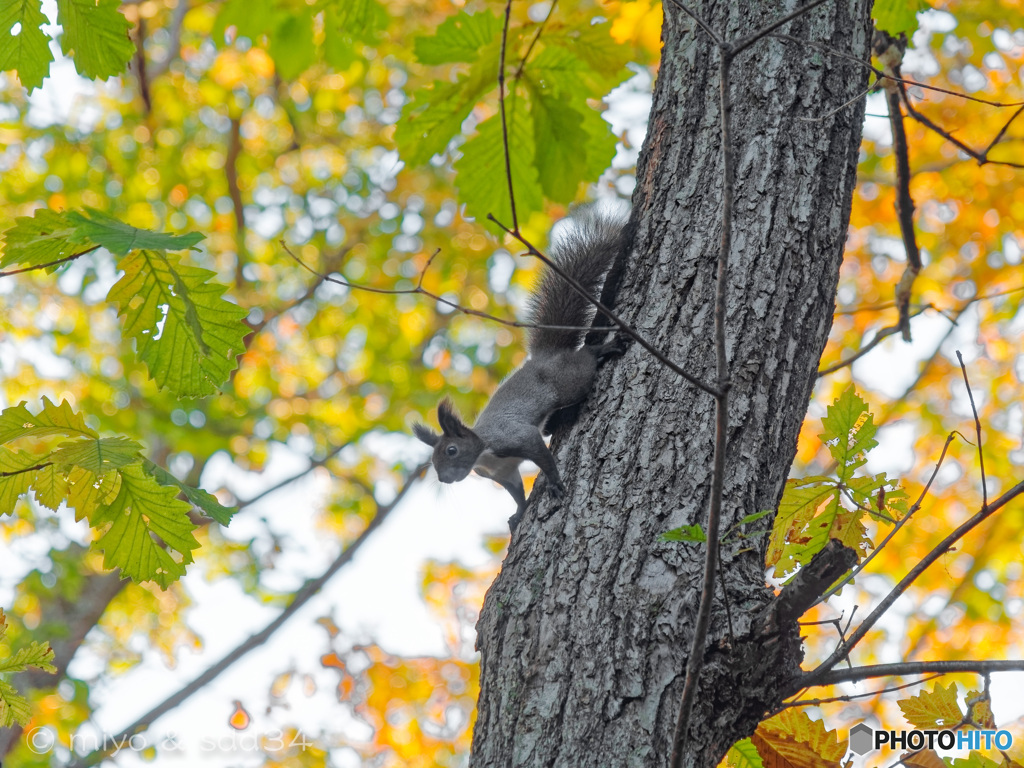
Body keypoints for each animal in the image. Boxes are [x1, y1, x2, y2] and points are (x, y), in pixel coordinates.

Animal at [413, 207, 622, 528]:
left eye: (451, 450)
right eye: (433, 461)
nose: (445, 479)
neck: (484, 453)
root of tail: (545, 356)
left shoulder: (515, 437)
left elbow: (541, 455)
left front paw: (554, 481)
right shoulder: (504, 472)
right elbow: (516, 492)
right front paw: (519, 513)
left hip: (570, 380)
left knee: (584, 361)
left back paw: (601, 350)